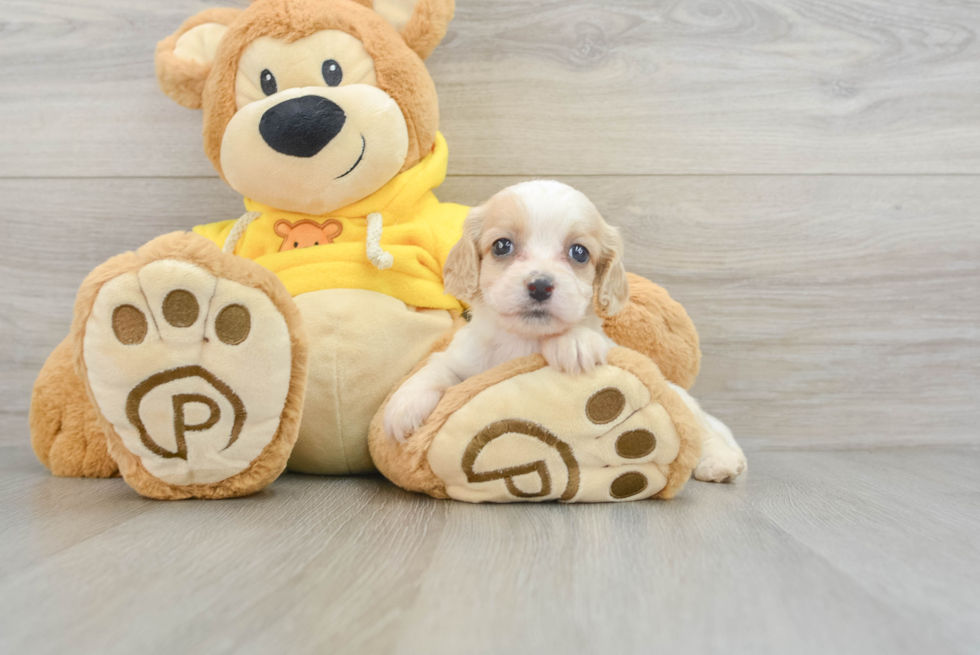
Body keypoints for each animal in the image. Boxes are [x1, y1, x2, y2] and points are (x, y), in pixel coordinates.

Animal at [378, 182, 748, 484]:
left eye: (579, 252)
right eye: (501, 246)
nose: (540, 285)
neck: (523, 340)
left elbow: (583, 336)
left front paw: (573, 342)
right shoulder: (464, 357)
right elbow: (436, 368)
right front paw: (404, 405)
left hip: (682, 399)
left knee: (705, 430)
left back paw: (720, 461)